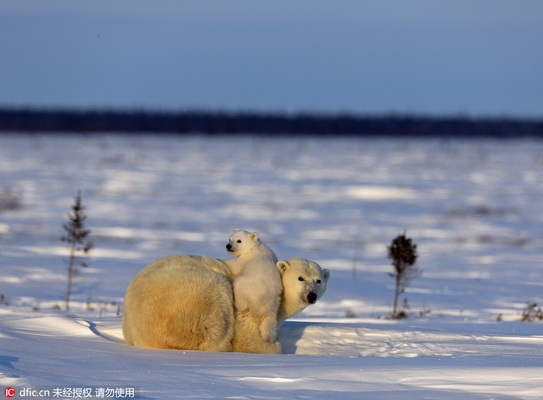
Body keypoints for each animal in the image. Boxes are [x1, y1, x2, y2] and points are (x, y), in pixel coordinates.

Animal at [122, 256, 332, 354]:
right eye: (300, 278)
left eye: (318, 280)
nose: (311, 295)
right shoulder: (251, 306)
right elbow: (248, 337)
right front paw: (272, 346)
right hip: (194, 298)